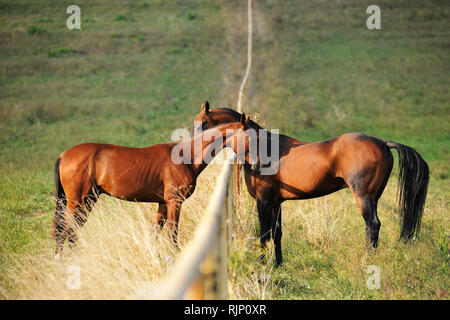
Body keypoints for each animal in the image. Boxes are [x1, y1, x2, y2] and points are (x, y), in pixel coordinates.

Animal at [52, 112, 253, 260]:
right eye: (251, 138)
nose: (256, 164)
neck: (186, 156)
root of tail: (63, 156)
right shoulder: (174, 202)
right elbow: (172, 233)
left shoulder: (163, 204)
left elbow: (155, 232)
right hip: (76, 202)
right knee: (64, 231)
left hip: (88, 200)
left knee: (72, 231)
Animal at [192, 102, 428, 264]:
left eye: (202, 124)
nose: (194, 149)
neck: (267, 150)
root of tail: (382, 143)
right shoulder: (276, 202)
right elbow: (277, 233)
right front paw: (278, 264)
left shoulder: (263, 201)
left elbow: (264, 234)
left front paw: (262, 265)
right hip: (375, 197)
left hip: (364, 197)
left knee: (373, 225)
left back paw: (367, 261)